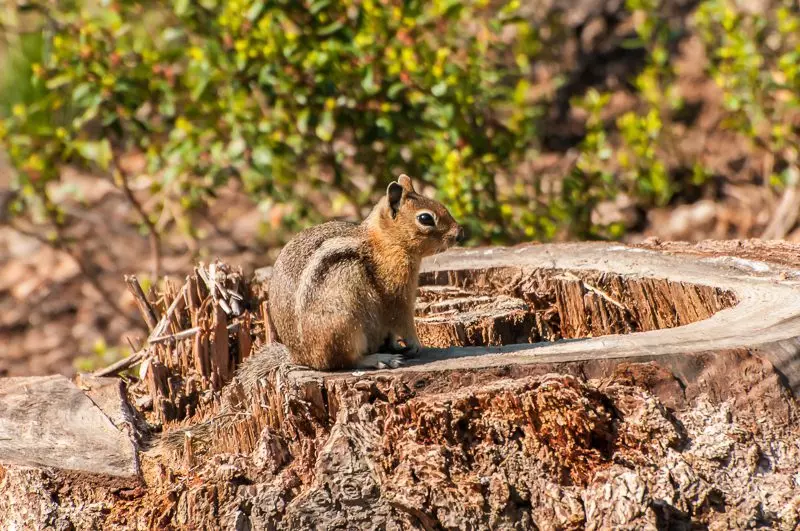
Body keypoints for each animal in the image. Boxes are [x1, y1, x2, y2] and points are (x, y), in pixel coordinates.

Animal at [154, 174, 464, 452]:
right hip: (345, 322)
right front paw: (414, 345)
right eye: (426, 218)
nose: (460, 233)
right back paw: (378, 359)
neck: (386, 241)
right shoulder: (397, 293)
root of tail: (299, 357)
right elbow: (403, 321)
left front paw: (397, 345)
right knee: (342, 362)